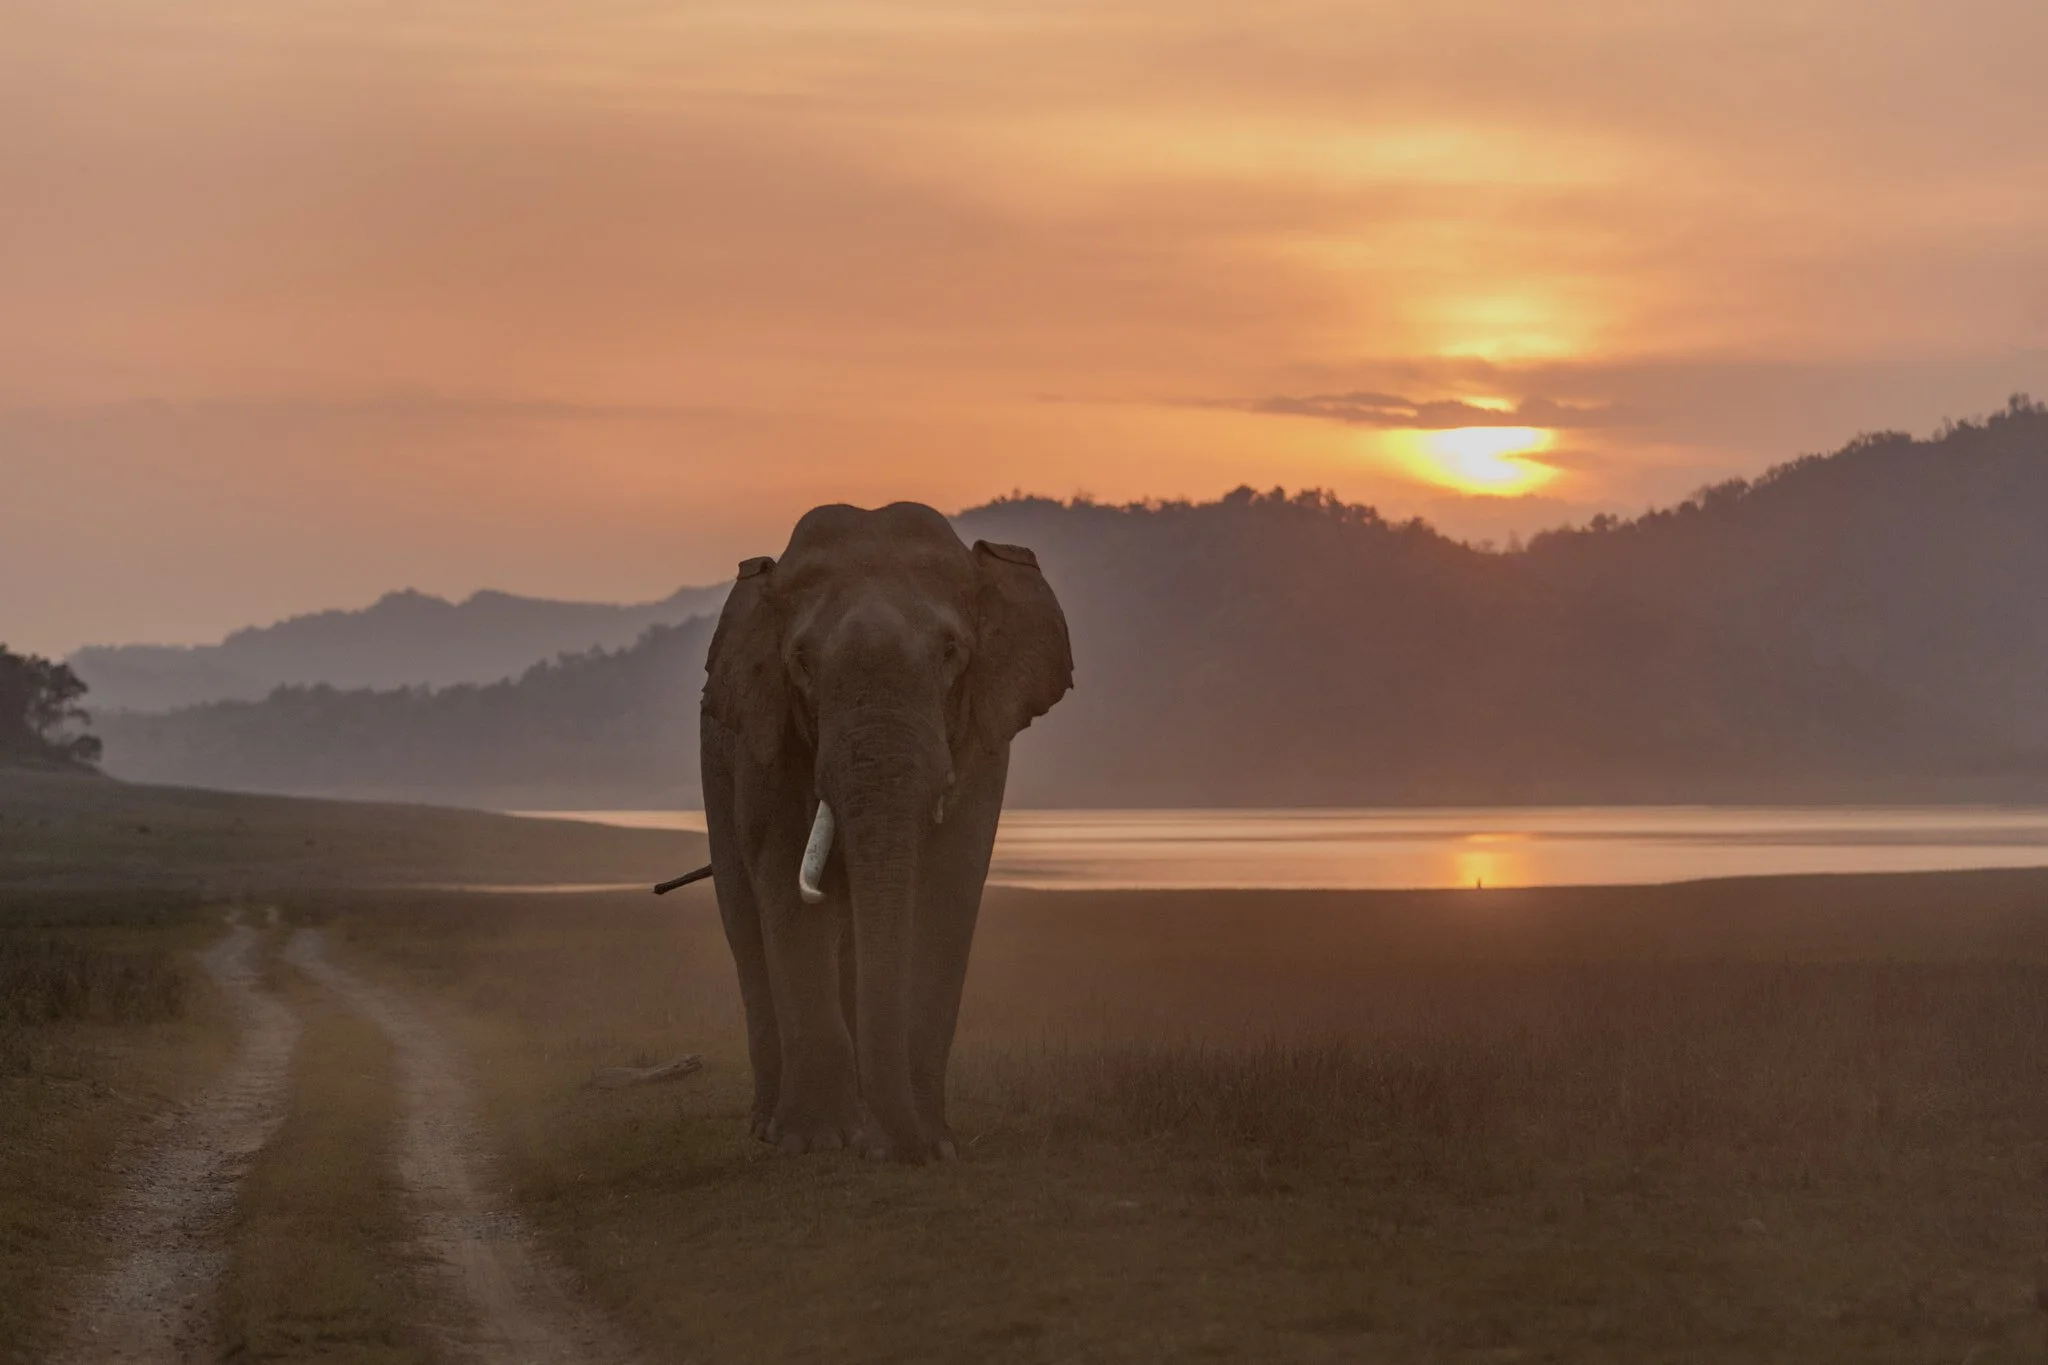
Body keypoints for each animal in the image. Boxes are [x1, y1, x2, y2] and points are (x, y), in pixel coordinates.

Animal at [699, 501, 1072, 1163]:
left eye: (951, 651)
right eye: (802, 663)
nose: (901, 1151)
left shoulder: (982, 739)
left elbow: (951, 882)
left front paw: (932, 1143)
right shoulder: (764, 736)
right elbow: (784, 883)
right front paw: (818, 1142)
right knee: (745, 925)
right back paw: (770, 1126)